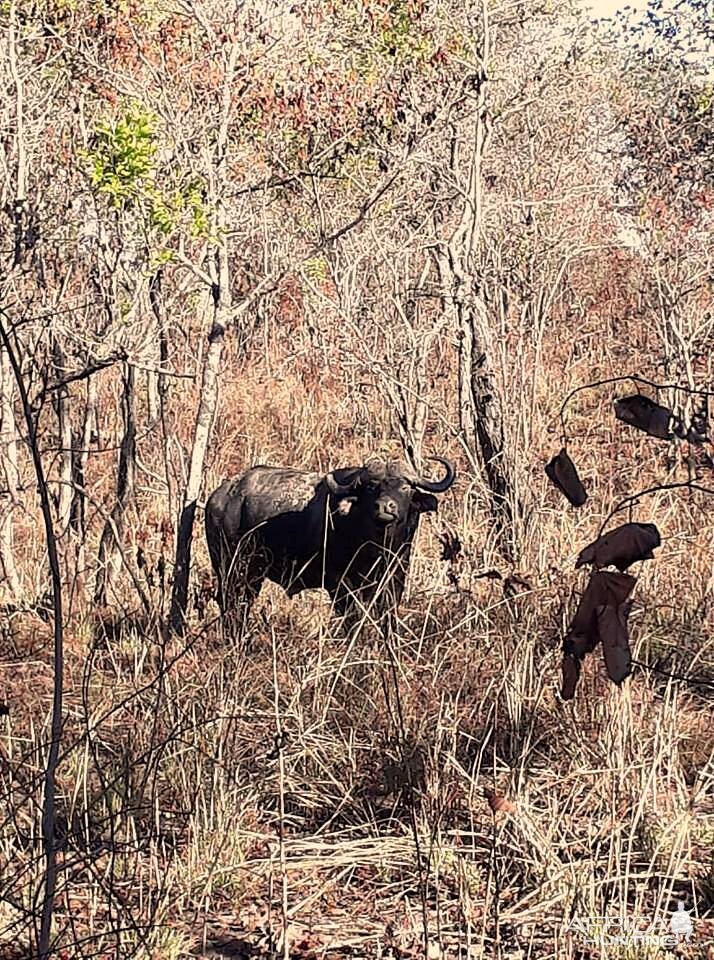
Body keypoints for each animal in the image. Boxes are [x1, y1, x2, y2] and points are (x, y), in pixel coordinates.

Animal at [203, 454, 454, 632]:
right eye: (372, 487)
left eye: (405, 487)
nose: (384, 506)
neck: (376, 547)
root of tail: (220, 498)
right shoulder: (339, 583)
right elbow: (351, 618)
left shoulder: (396, 573)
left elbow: (388, 614)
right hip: (235, 569)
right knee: (232, 603)